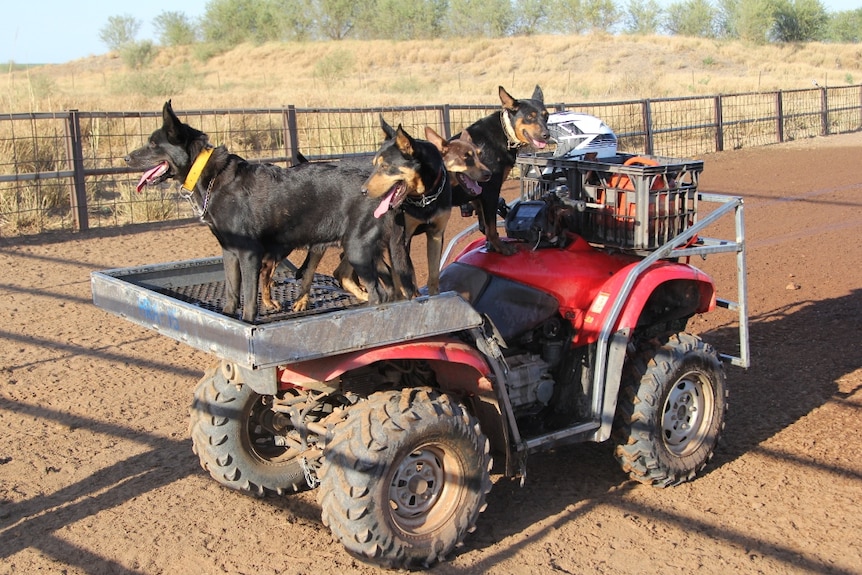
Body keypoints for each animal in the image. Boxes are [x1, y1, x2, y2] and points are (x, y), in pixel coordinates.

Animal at [456, 85, 552, 254]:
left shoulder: (479, 194)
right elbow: (492, 227)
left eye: (546, 116)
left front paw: (490, 246)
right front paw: (501, 247)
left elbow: (484, 225)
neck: (506, 131)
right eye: (530, 117)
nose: (546, 135)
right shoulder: (490, 190)